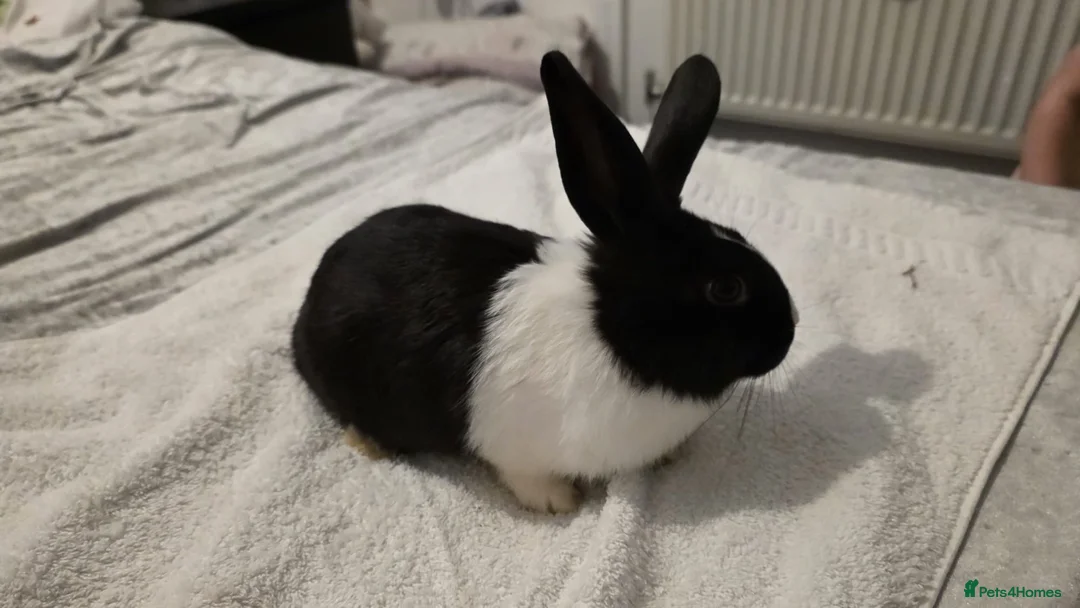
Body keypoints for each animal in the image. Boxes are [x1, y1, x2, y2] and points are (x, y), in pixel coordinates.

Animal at [290, 50, 798, 514]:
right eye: (726, 288)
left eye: (738, 235)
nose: (792, 327)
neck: (609, 333)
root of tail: (307, 303)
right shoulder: (514, 447)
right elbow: (524, 476)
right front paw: (560, 502)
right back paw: (370, 444)